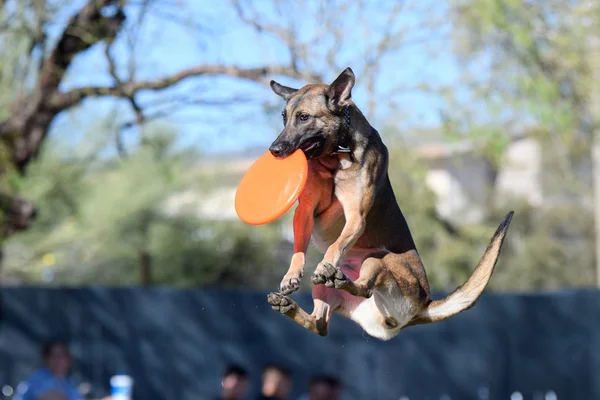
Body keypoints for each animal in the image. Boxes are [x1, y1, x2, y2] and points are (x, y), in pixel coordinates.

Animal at [264, 66, 512, 340]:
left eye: (304, 117)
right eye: (284, 117)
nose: (275, 150)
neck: (336, 155)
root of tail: (423, 307)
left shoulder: (356, 216)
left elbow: (336, 245)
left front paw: (325, 263)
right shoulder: (305, 212)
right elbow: (299, 250)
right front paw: (290, 276)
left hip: (381, 261)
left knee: (364, 288)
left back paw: (339, 277)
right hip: (326, 292)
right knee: (319, 325)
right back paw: (288, 304)